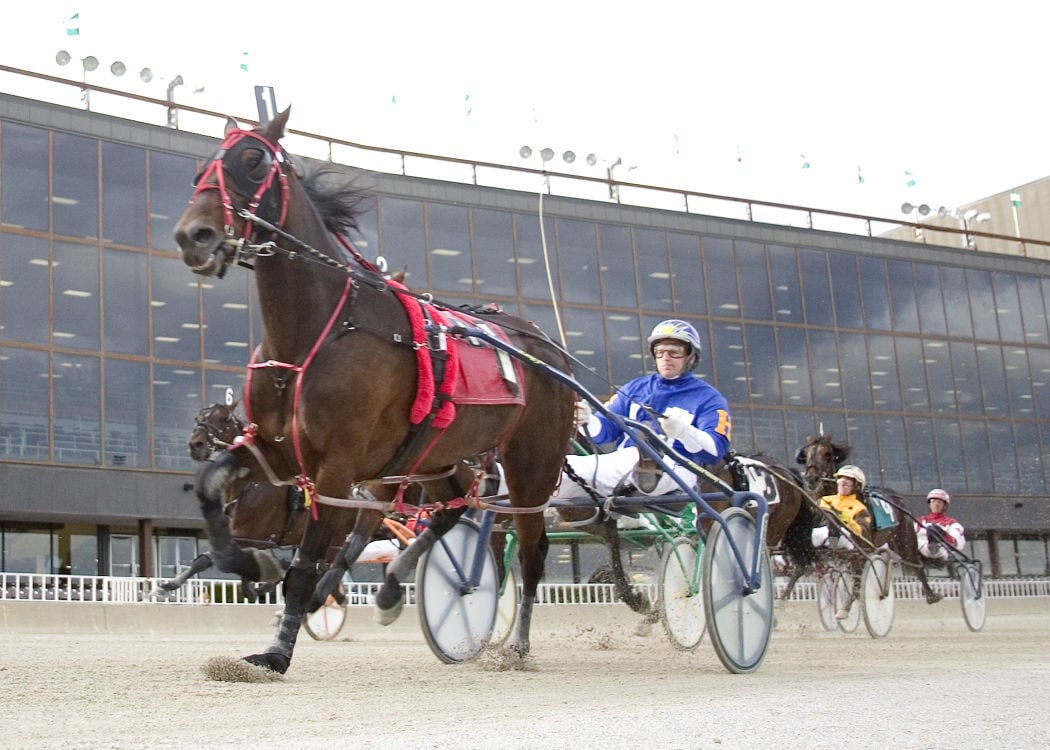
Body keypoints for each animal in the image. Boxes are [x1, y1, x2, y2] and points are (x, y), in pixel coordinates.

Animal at [172, 108, 575, 676]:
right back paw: (391, 591)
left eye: (252, 161)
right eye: (200, 170)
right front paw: (251, 561)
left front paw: (276, 653)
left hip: (531, 464)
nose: (194, 236)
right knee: (449, 509)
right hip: (434, 456)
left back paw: (515, 645)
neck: (315, 333)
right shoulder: (273, 448)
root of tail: (544, 344)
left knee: (530, 552)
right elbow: (213, 494)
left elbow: (304, 565)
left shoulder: (336, 466)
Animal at [793, 432, 944, 600]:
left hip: (905, 540)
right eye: (806, 454)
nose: (811, 479)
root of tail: (897, 497)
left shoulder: (858, 549)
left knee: (916, 564)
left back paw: (931, 595)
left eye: (827, 454)